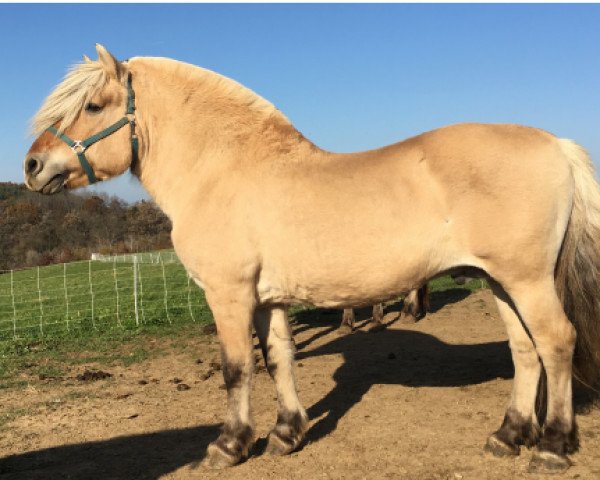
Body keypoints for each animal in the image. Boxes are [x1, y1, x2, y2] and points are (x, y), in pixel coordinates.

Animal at [22, 44, 600, 472]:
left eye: (94, 106)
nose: (31, 166)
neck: (223, 171)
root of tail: (557, 143)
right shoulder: (267, 300)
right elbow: (279, 359)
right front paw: (286, 434)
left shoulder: (229, 295)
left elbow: (236, 368)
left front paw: (229, 445)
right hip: (500, 281)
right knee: (525, 351)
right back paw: (509, 435)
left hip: (526, 280)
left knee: (556, 343)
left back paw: (552, 446)